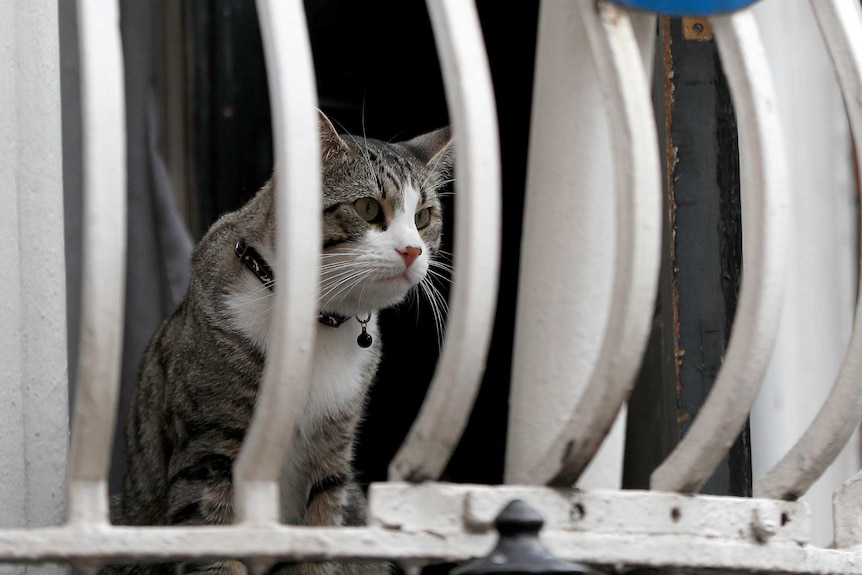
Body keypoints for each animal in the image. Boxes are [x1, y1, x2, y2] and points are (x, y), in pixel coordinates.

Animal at [109, 111, 452, 575]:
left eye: (424, 217)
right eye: (367, 208)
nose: (413, 251)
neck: (315, 327)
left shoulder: (333, 448)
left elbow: (321, 524)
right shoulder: (209, 452)